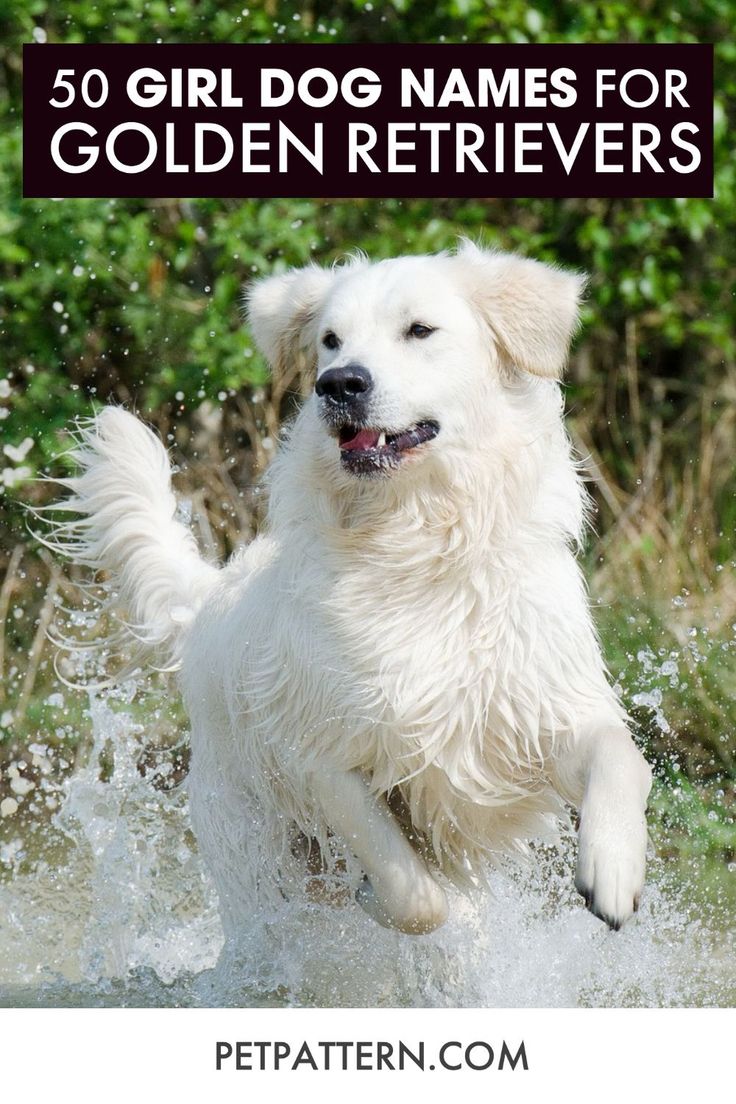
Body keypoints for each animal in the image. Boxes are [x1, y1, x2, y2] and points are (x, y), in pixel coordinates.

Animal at [51, 241, 648, 940]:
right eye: (330, 341)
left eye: (420, 330)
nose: (338, 384)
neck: (418, 545)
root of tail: (209, 599)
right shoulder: (319, 754)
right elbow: (415, 896)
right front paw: (392, 898)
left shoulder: (543, 707)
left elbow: (621, 756)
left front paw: (612, 870)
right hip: (253, 859)